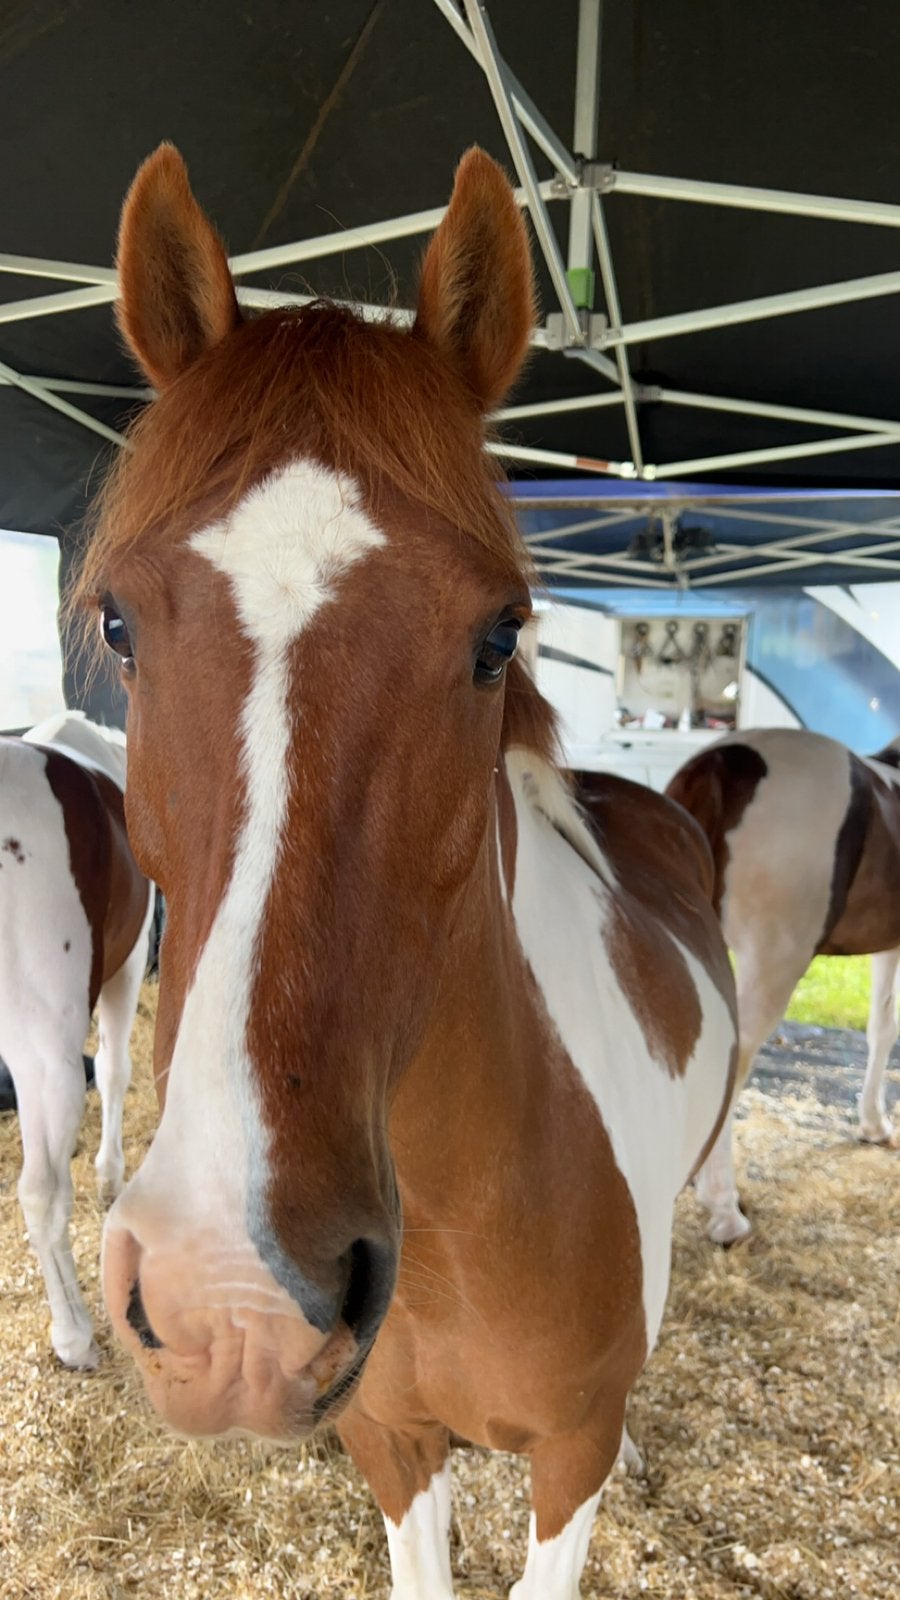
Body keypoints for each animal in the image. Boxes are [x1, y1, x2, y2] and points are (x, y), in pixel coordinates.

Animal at [77, 143, 738, 1599]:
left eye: (498, 635)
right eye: (119, 624)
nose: (231, 1302)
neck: (457, 1204)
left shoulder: (567, 1456)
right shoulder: (389, 1439)